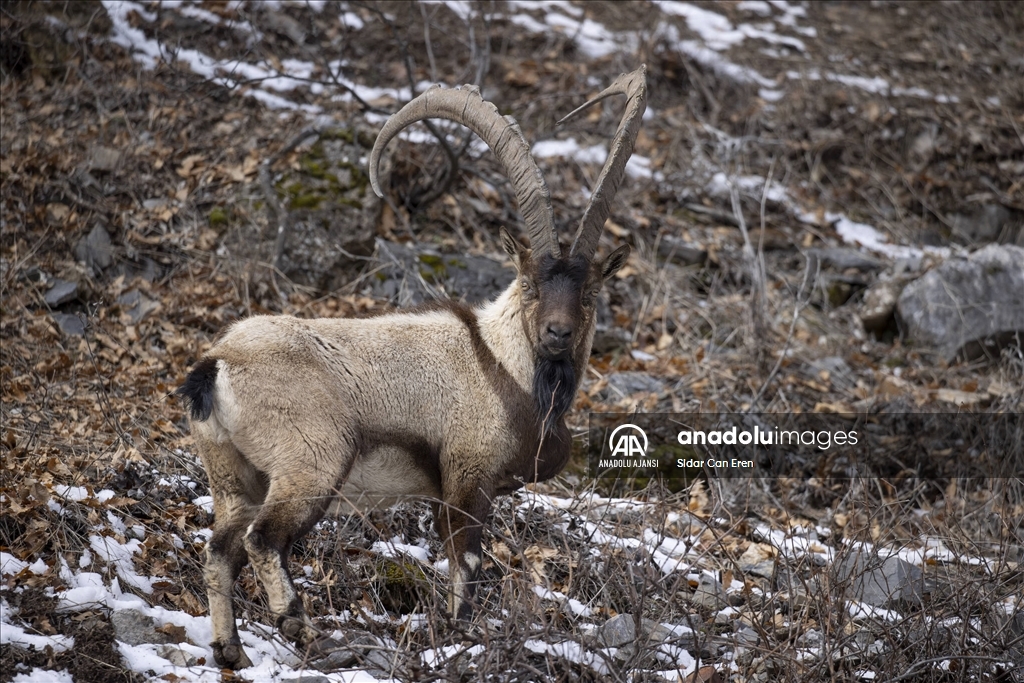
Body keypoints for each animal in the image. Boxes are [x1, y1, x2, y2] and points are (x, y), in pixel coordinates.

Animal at [179, 65, 643, 667]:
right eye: (531, 284)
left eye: (588, 293)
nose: (558, 334)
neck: (504, 363)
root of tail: (218, 365)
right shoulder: (468, 478)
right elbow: (466, 564)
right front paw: (461, 636)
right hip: (311, 465)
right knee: (263, 541)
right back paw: (304, 628)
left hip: (235, 477)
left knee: (219, 551)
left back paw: (231, 651)